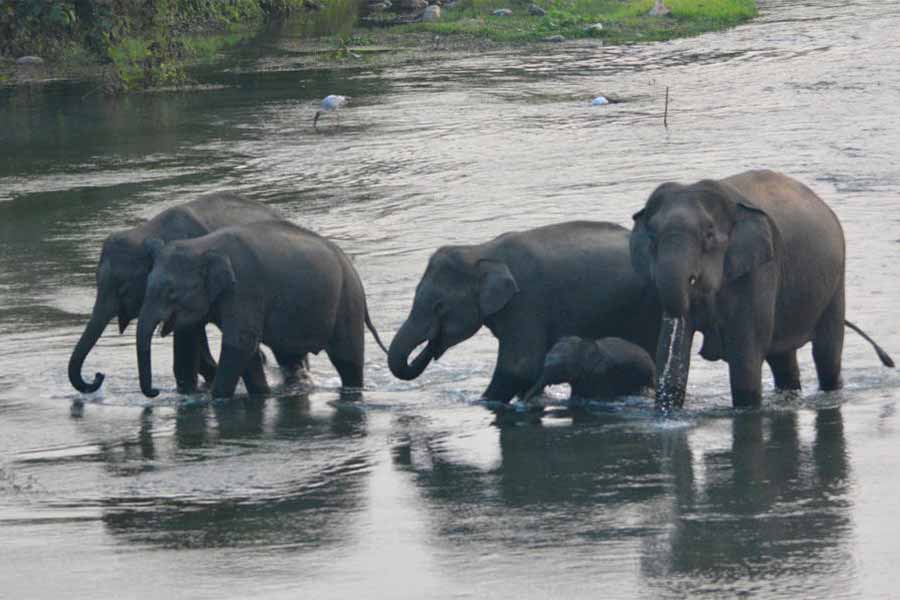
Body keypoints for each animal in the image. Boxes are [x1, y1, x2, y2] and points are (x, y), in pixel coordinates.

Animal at [136, 219, 386, 398]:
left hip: (347, 301)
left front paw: (217, 397)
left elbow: (240, 342)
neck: (202, 245)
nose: (155, 391)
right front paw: (261, 393)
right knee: (290, 355)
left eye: (171, 293)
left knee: (347, 360)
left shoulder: (245, 288)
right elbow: (240, 346)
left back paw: (352, 391)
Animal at [628, 171, 896, 410]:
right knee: (782, 359)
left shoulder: (760, 271)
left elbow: (746, 354)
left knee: (826, 353)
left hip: (836, 280)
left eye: (709, 234)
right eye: (651, 237)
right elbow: (670, 350)